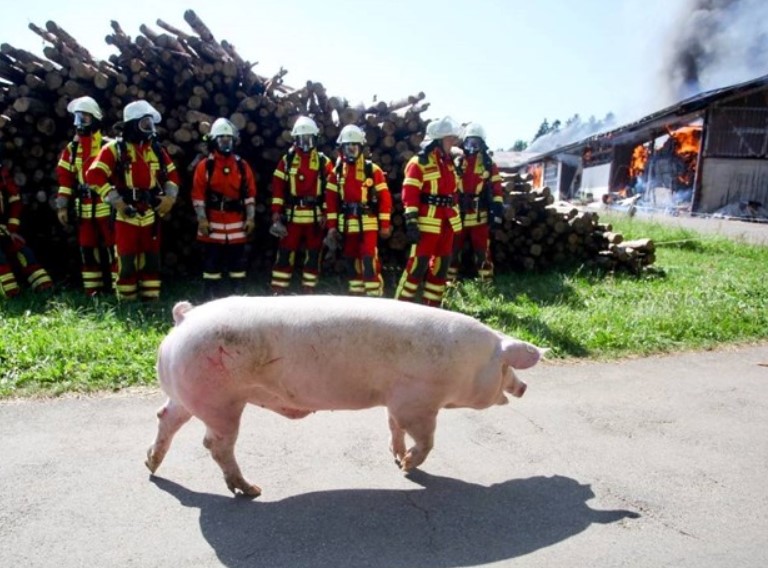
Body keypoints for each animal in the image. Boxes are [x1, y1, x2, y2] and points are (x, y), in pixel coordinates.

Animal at [146, 296, 544, 494]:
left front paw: (396, 459)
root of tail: (185, 318)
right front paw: (407, 467)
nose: (524, 387)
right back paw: (253, 490)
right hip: (221, 402)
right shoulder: (418, 402)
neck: (465, 365)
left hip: (187, 394)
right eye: (506, 366)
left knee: (166, 418)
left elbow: (393, 426)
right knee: (215, 445)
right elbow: (426, 439)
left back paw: (151, 465)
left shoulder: (395, 401)